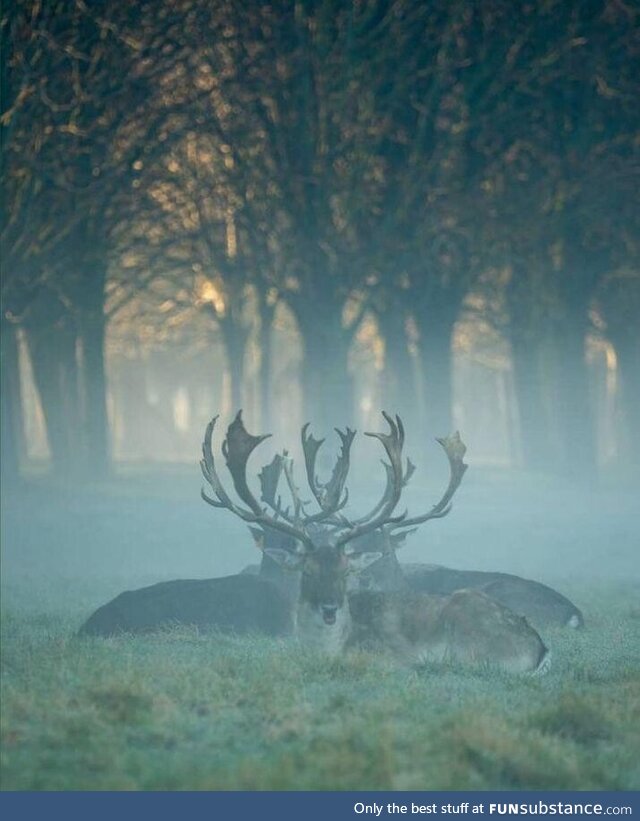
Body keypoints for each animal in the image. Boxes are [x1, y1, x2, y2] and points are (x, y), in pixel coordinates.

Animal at [201, 410, 552, 672]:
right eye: (307, 572)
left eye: (345, 571)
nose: (330, 609)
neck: (328, 648)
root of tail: (540, 648)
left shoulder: (392, 653)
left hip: (469, 636)